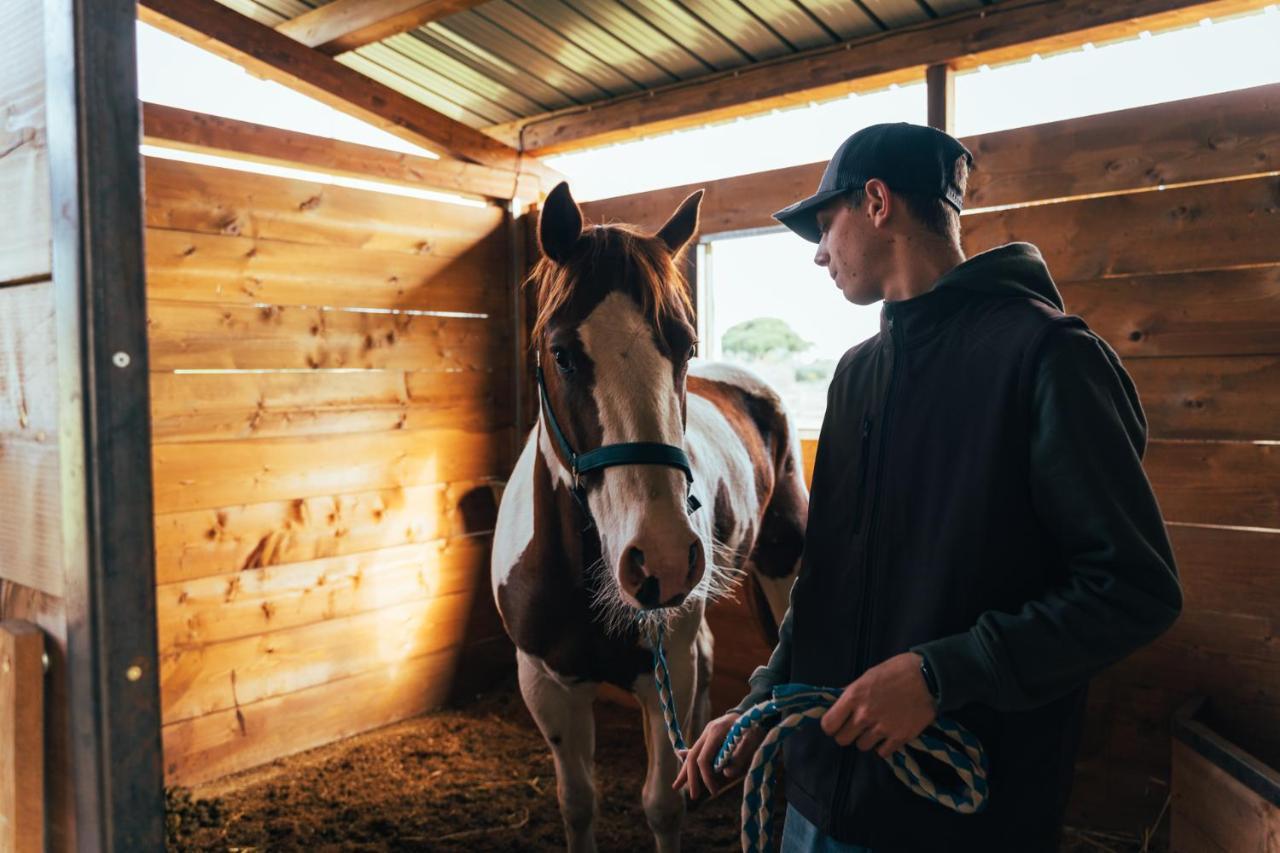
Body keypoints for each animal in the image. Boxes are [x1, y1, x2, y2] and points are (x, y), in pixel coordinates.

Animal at [491, 183, 803, 845]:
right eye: (562, 353)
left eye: (684, 345)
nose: (660, 557)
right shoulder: (545, 685)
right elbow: (577, 803)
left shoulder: (664, 674)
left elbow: (660, 804)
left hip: (781, 563)